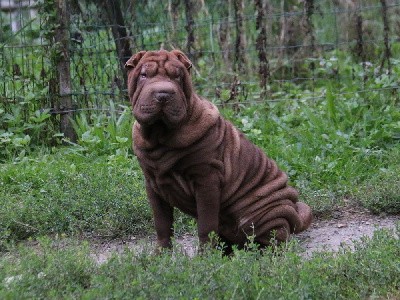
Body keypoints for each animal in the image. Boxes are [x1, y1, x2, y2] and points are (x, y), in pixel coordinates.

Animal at [125, 49, 312, 251]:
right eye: (144, 75)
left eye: (177, 77)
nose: (163, 94)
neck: (160, 137)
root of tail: (294, 211)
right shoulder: (153, 184)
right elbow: (162, 223)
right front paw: (161, 254)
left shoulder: (207, 180)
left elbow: (206, 224)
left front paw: (205, 255)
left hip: (262, 214)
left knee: (273, 237)